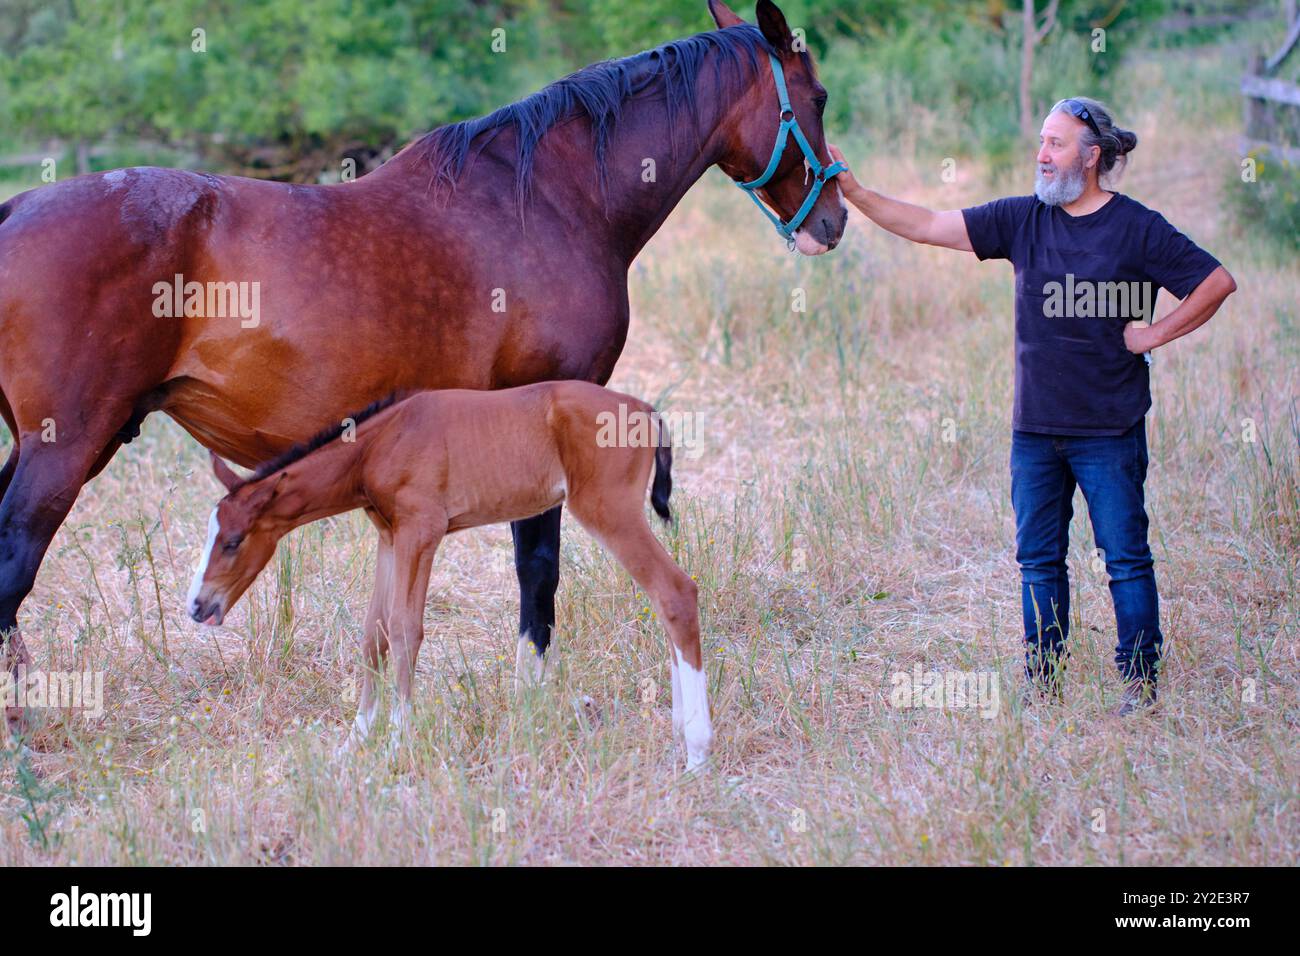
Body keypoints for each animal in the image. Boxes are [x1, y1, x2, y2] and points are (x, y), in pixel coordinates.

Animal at [184, 379, 712, 770]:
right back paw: (679, 737)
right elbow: (374, 633)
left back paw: (698, 754)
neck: (380, 443)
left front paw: (397, 743)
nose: (197, 606)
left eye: (232, 541)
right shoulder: (390, 537)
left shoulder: (422, 531)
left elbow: (405, 630)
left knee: (675, 592)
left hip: (608, 511)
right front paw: (353, 744)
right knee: (664, 601)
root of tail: (646, 410)